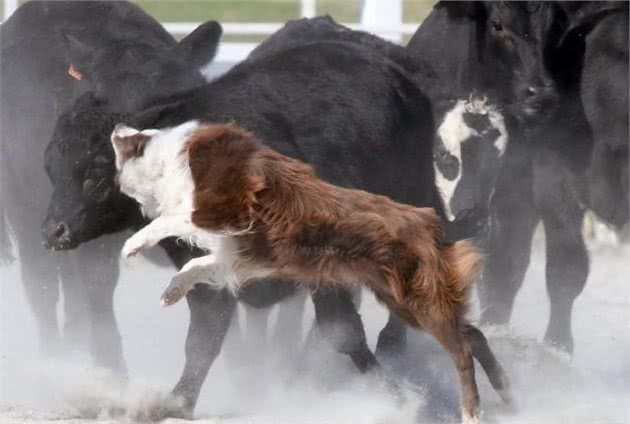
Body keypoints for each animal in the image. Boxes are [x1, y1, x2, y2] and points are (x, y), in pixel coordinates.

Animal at [110, 121, 512, 422]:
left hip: (419, 300)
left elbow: (172, 218)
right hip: (404, 300)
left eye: (138, 137)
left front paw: (133, 245)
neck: (172, 162)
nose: (116, 125)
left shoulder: (227, 210)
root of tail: (430, 222)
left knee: (462, 350)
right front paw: (172, 291)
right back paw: (507, 393)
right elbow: (197, 263)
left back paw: (472, 412)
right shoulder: (238, 253)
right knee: (473, 334)